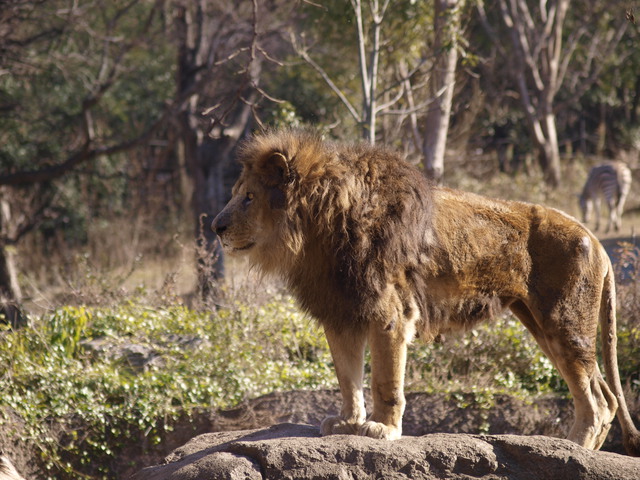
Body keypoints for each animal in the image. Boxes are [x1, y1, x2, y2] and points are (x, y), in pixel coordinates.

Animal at [211, 129, 640, 456]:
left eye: (248, 197)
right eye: (236, 192)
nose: (215, 227)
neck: (317, 234)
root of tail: (594, 238)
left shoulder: (390, 312)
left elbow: (385, 380)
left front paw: (381, 429)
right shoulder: (341, 310)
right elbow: (347, 376)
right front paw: (347, 422)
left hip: (564, 323)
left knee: (598, 401)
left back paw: (573, 450)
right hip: (541, 323)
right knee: (605, 394)